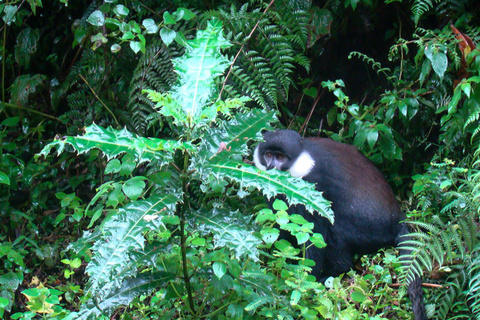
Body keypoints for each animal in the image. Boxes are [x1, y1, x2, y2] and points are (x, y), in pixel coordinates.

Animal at [253, 129, 426, 320]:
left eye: (280, 157)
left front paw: (306, 284)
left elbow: (314, 237)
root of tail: (397, 221)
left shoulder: (312, 188)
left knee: (335, 231)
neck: (304, 159)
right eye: (269, 155)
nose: (272, 167)